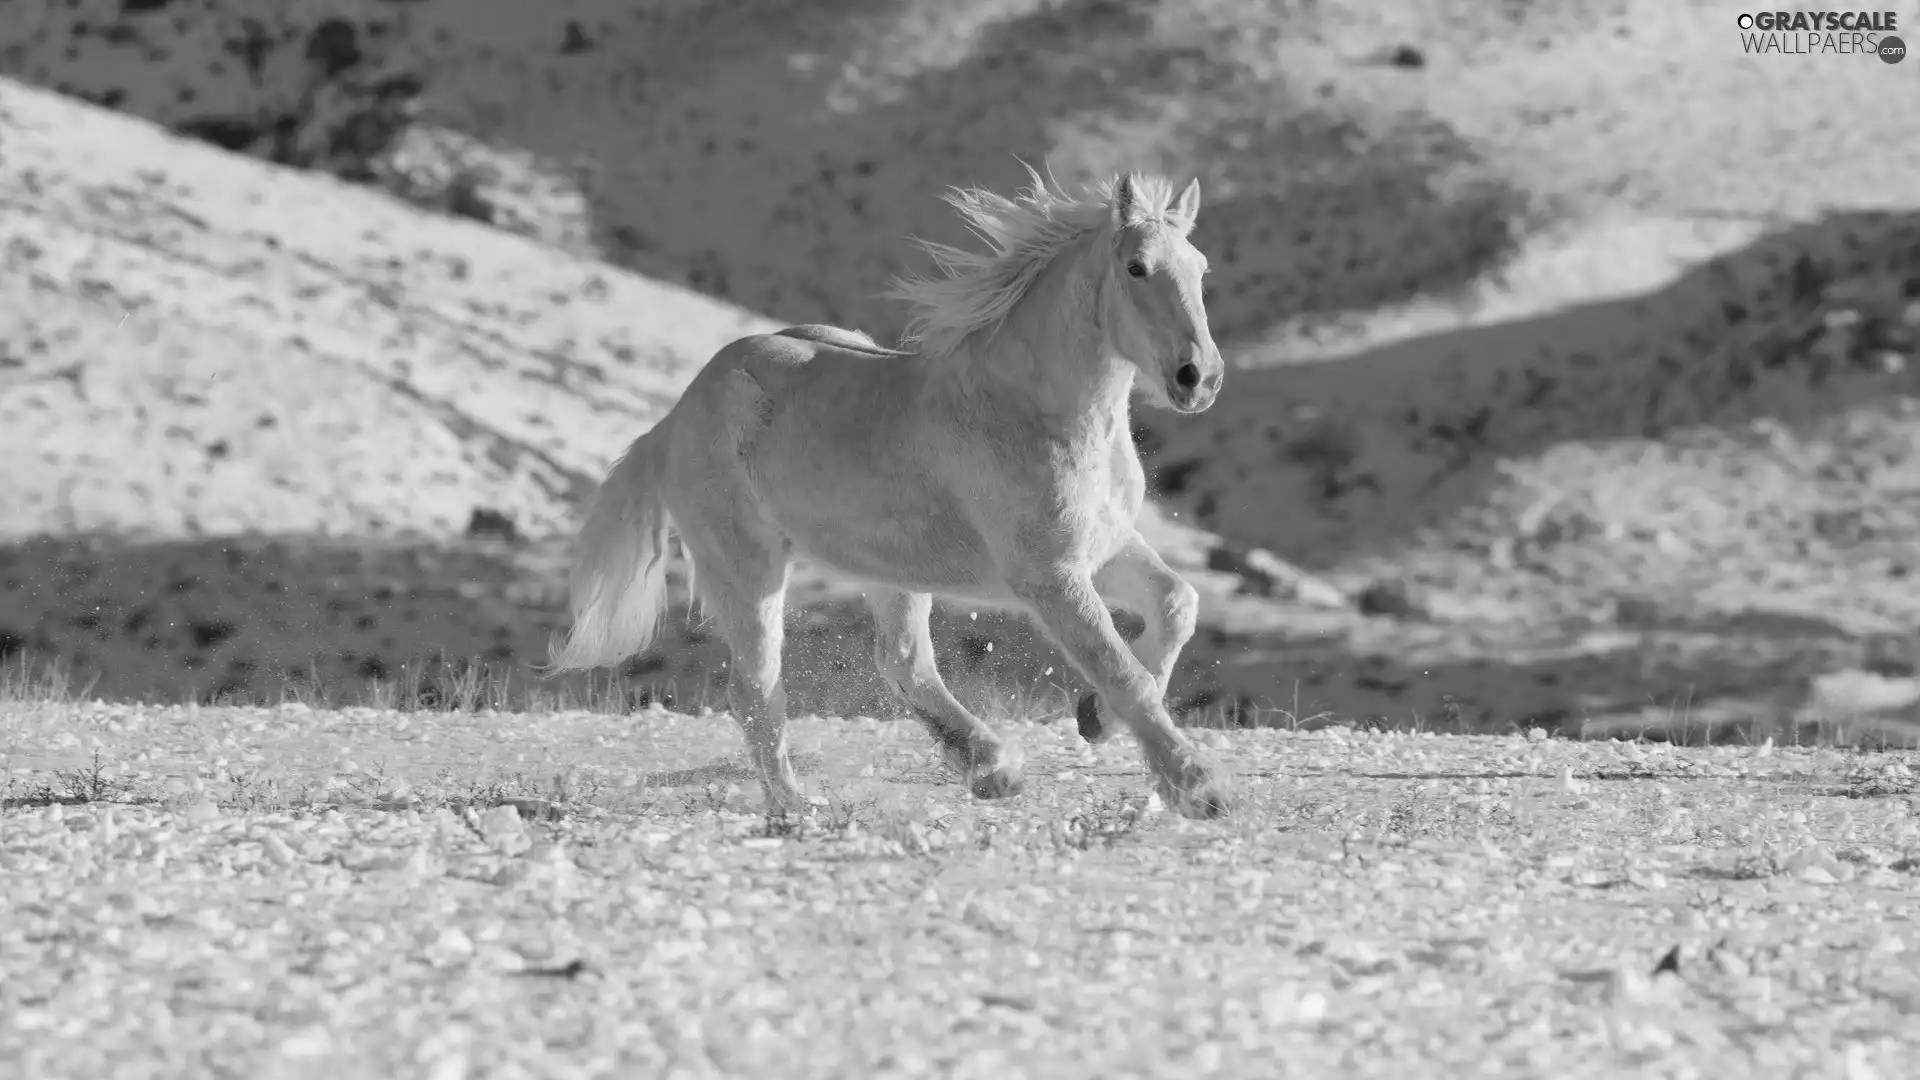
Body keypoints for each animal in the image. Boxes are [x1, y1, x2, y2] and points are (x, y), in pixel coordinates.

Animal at [549, 168, 1228, 814]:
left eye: (1201, 268)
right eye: (1137, 267)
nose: (1199, 378)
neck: (1030, 410)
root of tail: (674, 417)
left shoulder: (1101, 550)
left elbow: (1178, 604)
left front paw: (1095, 720)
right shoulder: (1050, 577)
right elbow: (1123, 670)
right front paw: (1200, 790)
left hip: (889, 568)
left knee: (902, 661)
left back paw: (992, 770)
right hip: (744, 567)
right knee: (756, 690)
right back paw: (798, 810)